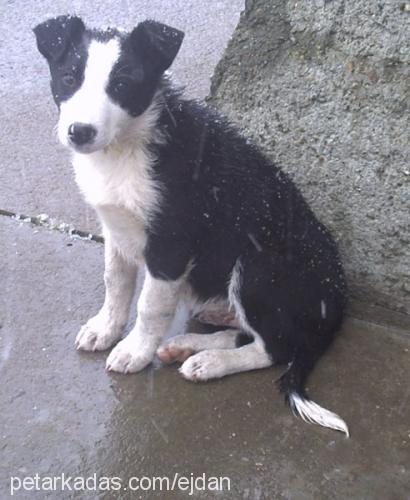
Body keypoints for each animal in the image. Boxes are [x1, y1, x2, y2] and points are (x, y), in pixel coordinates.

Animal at [34, 17, 350, 436]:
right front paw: (106, 328)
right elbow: (116, 283)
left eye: (123, 84)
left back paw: (210, 363)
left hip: (258, 267)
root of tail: (337, 302)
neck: (126, 147)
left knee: (276, 347)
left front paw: (134, 350)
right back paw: (191, 344)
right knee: (251, 332)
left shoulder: (171, 243)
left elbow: (150, 304)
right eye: (69, 78)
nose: (79, 132)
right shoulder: (116, 229)